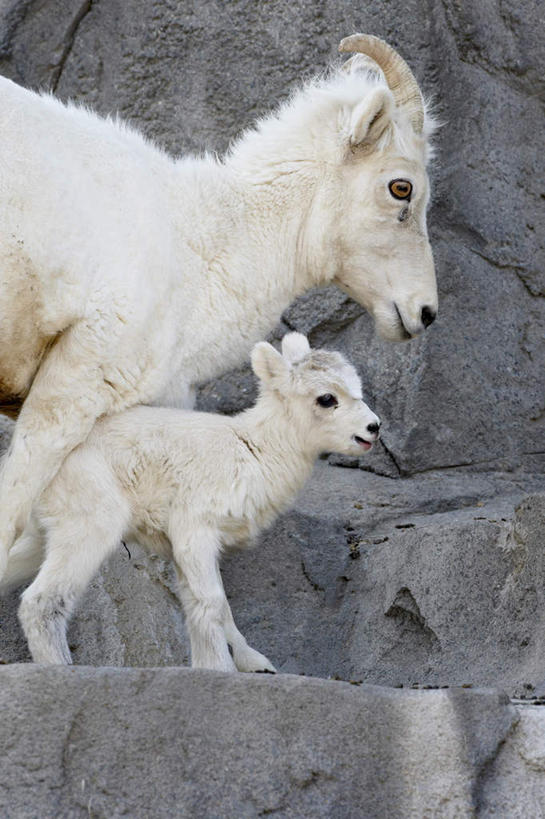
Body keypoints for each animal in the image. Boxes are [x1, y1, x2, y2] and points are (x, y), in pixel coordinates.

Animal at [3, 334, 378, 672]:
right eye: (327, 398)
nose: (373, 427)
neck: (252, 450)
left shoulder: (183, 548)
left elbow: (208, 606)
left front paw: (250, 665)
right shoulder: (194, 532)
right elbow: (212, 604)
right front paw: (223, 669)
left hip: (39, 535)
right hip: (89, 526)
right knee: (41, 602)